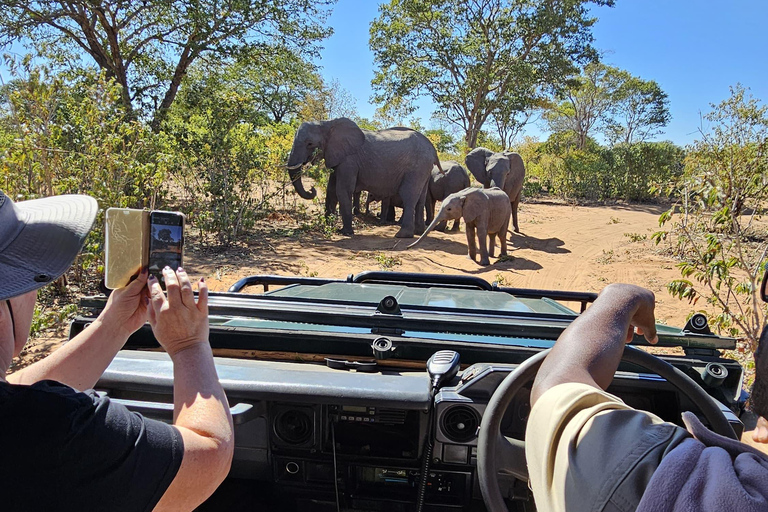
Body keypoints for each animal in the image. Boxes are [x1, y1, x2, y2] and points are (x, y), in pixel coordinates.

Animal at [284, 118, 440, 238]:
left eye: (310, 143)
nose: (312, 189)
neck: (327, 123)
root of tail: (433, 150)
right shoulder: (338, 158)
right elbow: (331, 190)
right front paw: (328, 226)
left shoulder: (349, 160)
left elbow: (343, 190)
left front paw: (346, 233)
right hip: (424, 169)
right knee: (421, 198)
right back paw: (419, 232)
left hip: (417, 167)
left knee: (409, 196)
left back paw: (402, 235)